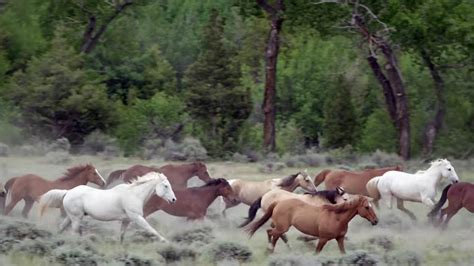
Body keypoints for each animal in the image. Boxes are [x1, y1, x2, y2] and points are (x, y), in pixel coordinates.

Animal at [39, 171, 177, 242]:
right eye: (166, 186)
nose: (174, 200)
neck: (134, 194)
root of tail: (67, 192)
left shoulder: (126, 220)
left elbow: (121, 236)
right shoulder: (137, 217)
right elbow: (151, 229)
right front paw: (165, 242)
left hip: (71, 217)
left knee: (61, 228)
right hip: (76, 218)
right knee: (73, 232)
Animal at [248, 195, 378, 254]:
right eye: (367, 207)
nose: (376, 221)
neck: (336, 218)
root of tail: (278, 203)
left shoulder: (340, 239)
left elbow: (343, 253)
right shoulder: (323, 239)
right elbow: (316, 252)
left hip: (280, 228)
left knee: (272, 234)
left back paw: (270, 250)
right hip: (282, 228)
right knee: (272, 233)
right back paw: (269, 249)